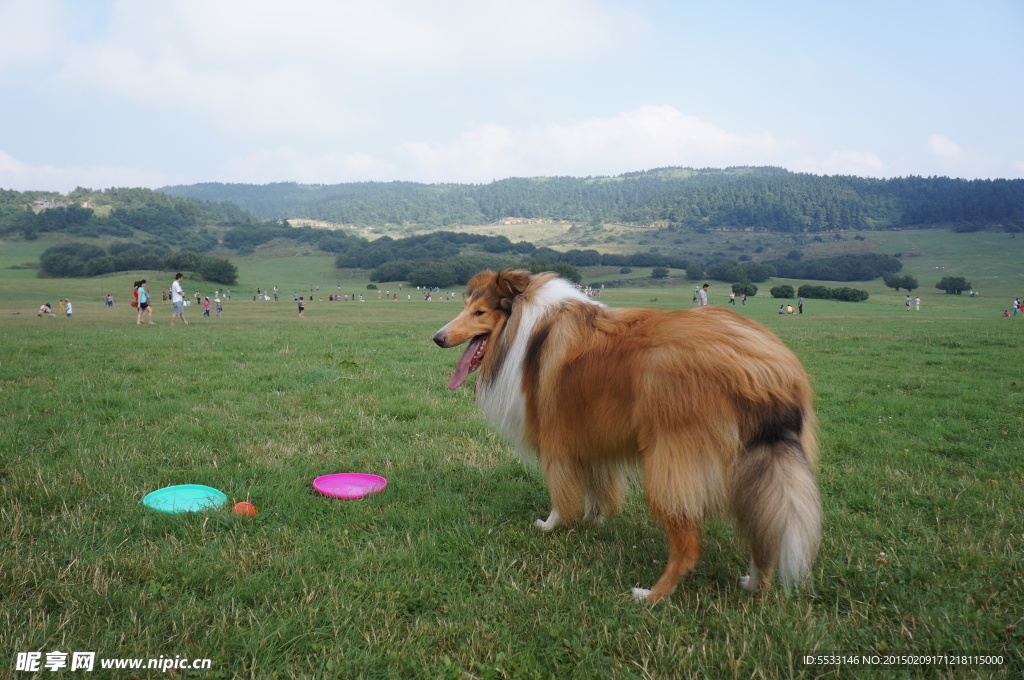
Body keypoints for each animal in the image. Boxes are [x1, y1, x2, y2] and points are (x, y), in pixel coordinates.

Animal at [434, 270, 823, 606]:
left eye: (479, 312)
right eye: (464, 305)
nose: (437, 337)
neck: (526, 330)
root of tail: (766, 371)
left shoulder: (556, 441)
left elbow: (562, 491)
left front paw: (551, 525)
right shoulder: (589, 440)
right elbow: (597, 487)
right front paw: (593, 520)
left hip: (671, 465)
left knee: (689, 548)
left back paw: (651, 596)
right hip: (754, 467)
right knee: (764, 533)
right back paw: (754, 585)